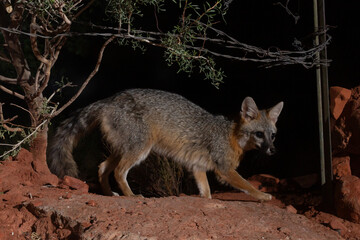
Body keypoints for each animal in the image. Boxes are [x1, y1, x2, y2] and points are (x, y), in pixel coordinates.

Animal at [47, 88, 284, 201]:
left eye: (273, 136)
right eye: (259, 134)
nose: (273, 150)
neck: (231, 135)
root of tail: (110, 99)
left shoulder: (198, 167)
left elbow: (206, 192)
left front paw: (206, 200)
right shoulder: (224, 170)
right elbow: (247, 185)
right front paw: (263, 196)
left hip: (124, 148)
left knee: (103, 167)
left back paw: (109, 194)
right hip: (140, 149)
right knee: (118, 172)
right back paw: (131, 195)